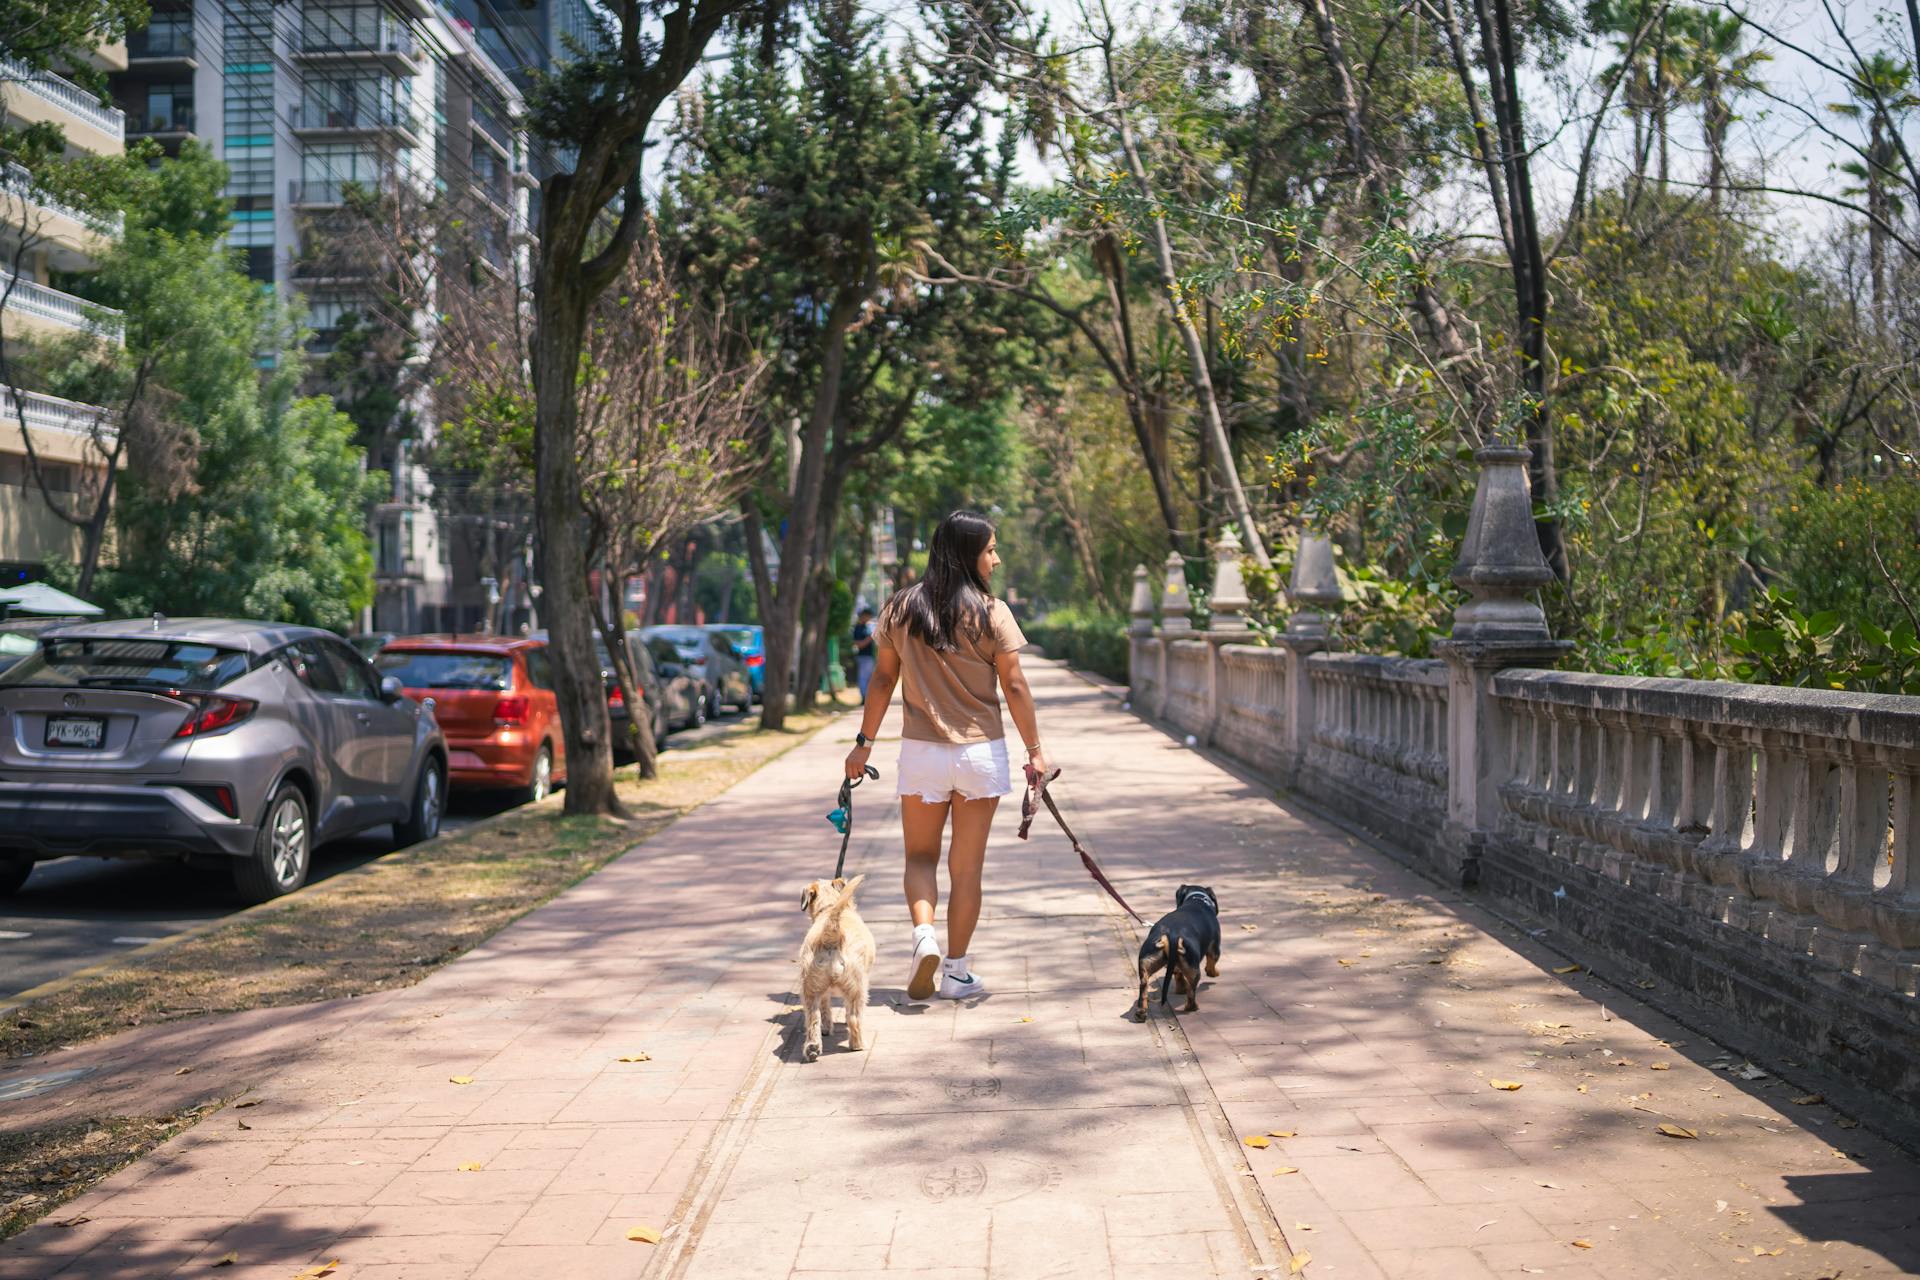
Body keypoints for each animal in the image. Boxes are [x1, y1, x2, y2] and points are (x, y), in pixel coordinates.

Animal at [794, 871, 879, 1059]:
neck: (829, 907)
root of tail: (831, 933)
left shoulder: (823, 993)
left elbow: (826, 1010)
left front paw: (827, 1029)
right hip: (858, 989)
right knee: (853, 1018)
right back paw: (858, 1045)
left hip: (810, 989)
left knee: (813, 1018)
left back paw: (813, 1047)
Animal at [1128, 886, 1221, 1028]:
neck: (1197, 899)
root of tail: (1171, 935)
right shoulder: (1214, 949)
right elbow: (1211, 963)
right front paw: (1213, 973)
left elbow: (1178, 974)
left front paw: (1180, 988)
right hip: (1194, 969)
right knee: (1191, 992)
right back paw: (1192, 1007)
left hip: (1146, 962)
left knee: (1143, 988)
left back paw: (1141, 1013)